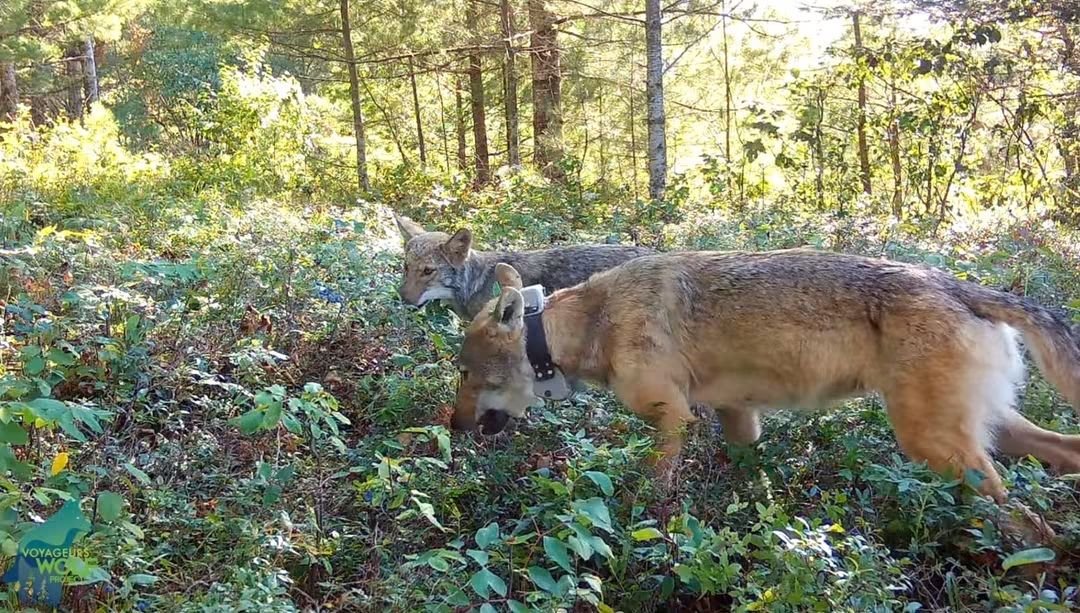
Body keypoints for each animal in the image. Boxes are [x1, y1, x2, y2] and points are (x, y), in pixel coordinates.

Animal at [450, 249, 1080, 502]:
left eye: (463, 373)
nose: (453, 428)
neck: (591, 322)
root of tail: (962, 286)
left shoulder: (672, 418)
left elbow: (653, 492)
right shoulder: (739, 418)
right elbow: (747, 478)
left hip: (938, 446)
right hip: (994, 432)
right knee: (1062, 455)